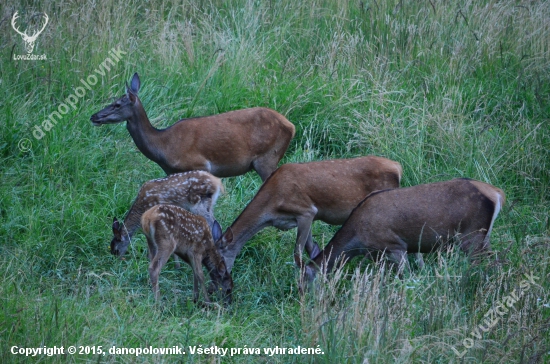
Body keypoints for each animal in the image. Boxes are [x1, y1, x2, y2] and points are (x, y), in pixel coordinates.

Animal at [90, 73, 298, 181]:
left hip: (267, 157)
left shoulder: (198, 165)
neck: (163, 145)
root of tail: (292, 126)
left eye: (117, 104)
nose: (94, 116)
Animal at [302, 178, 508, 292]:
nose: (303, 299)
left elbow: (406, 277)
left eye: (304, 279)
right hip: (483, 237)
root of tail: (497, 193)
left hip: (472, 236)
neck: (358, 240)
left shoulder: (394, 246)